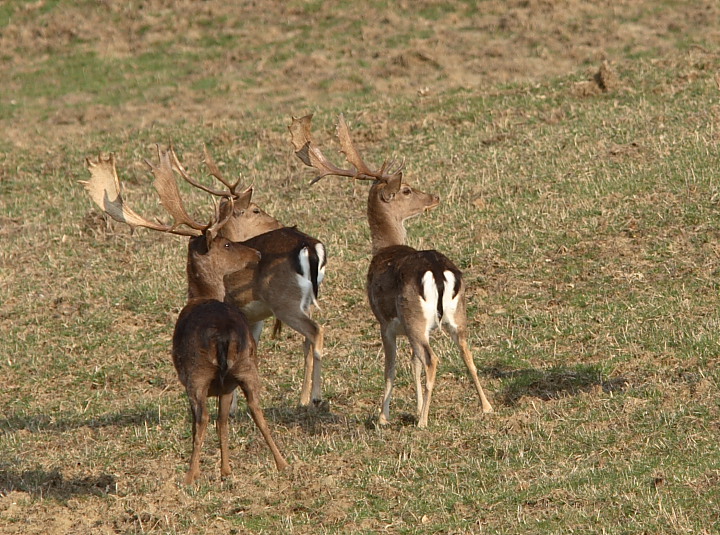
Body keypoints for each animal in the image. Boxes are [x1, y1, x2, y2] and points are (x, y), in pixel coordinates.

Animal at [83, 154, 288, 482]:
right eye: (227, 245)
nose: (256, 252)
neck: (200, 297)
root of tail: (223, 335)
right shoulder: (227, 385)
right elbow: (224, 420)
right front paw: (226, 470)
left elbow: (206, 421)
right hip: (244, 366)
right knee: (256, 408)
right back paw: (282, 463)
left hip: (196, 373)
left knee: (200, 418)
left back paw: (191, 476)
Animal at [290, 115, 492, 430]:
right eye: (406, 190)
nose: (434, 196)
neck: (384, 249)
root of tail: (438, 272)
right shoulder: (403, 327)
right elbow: (412, 363)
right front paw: (414, 405)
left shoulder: (384, 320)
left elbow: (391, 366)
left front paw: (383, 416)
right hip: (454, 315)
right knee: (466, 352)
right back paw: (485, 406)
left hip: (414, 316)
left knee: (433, 359)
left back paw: (423, 422)